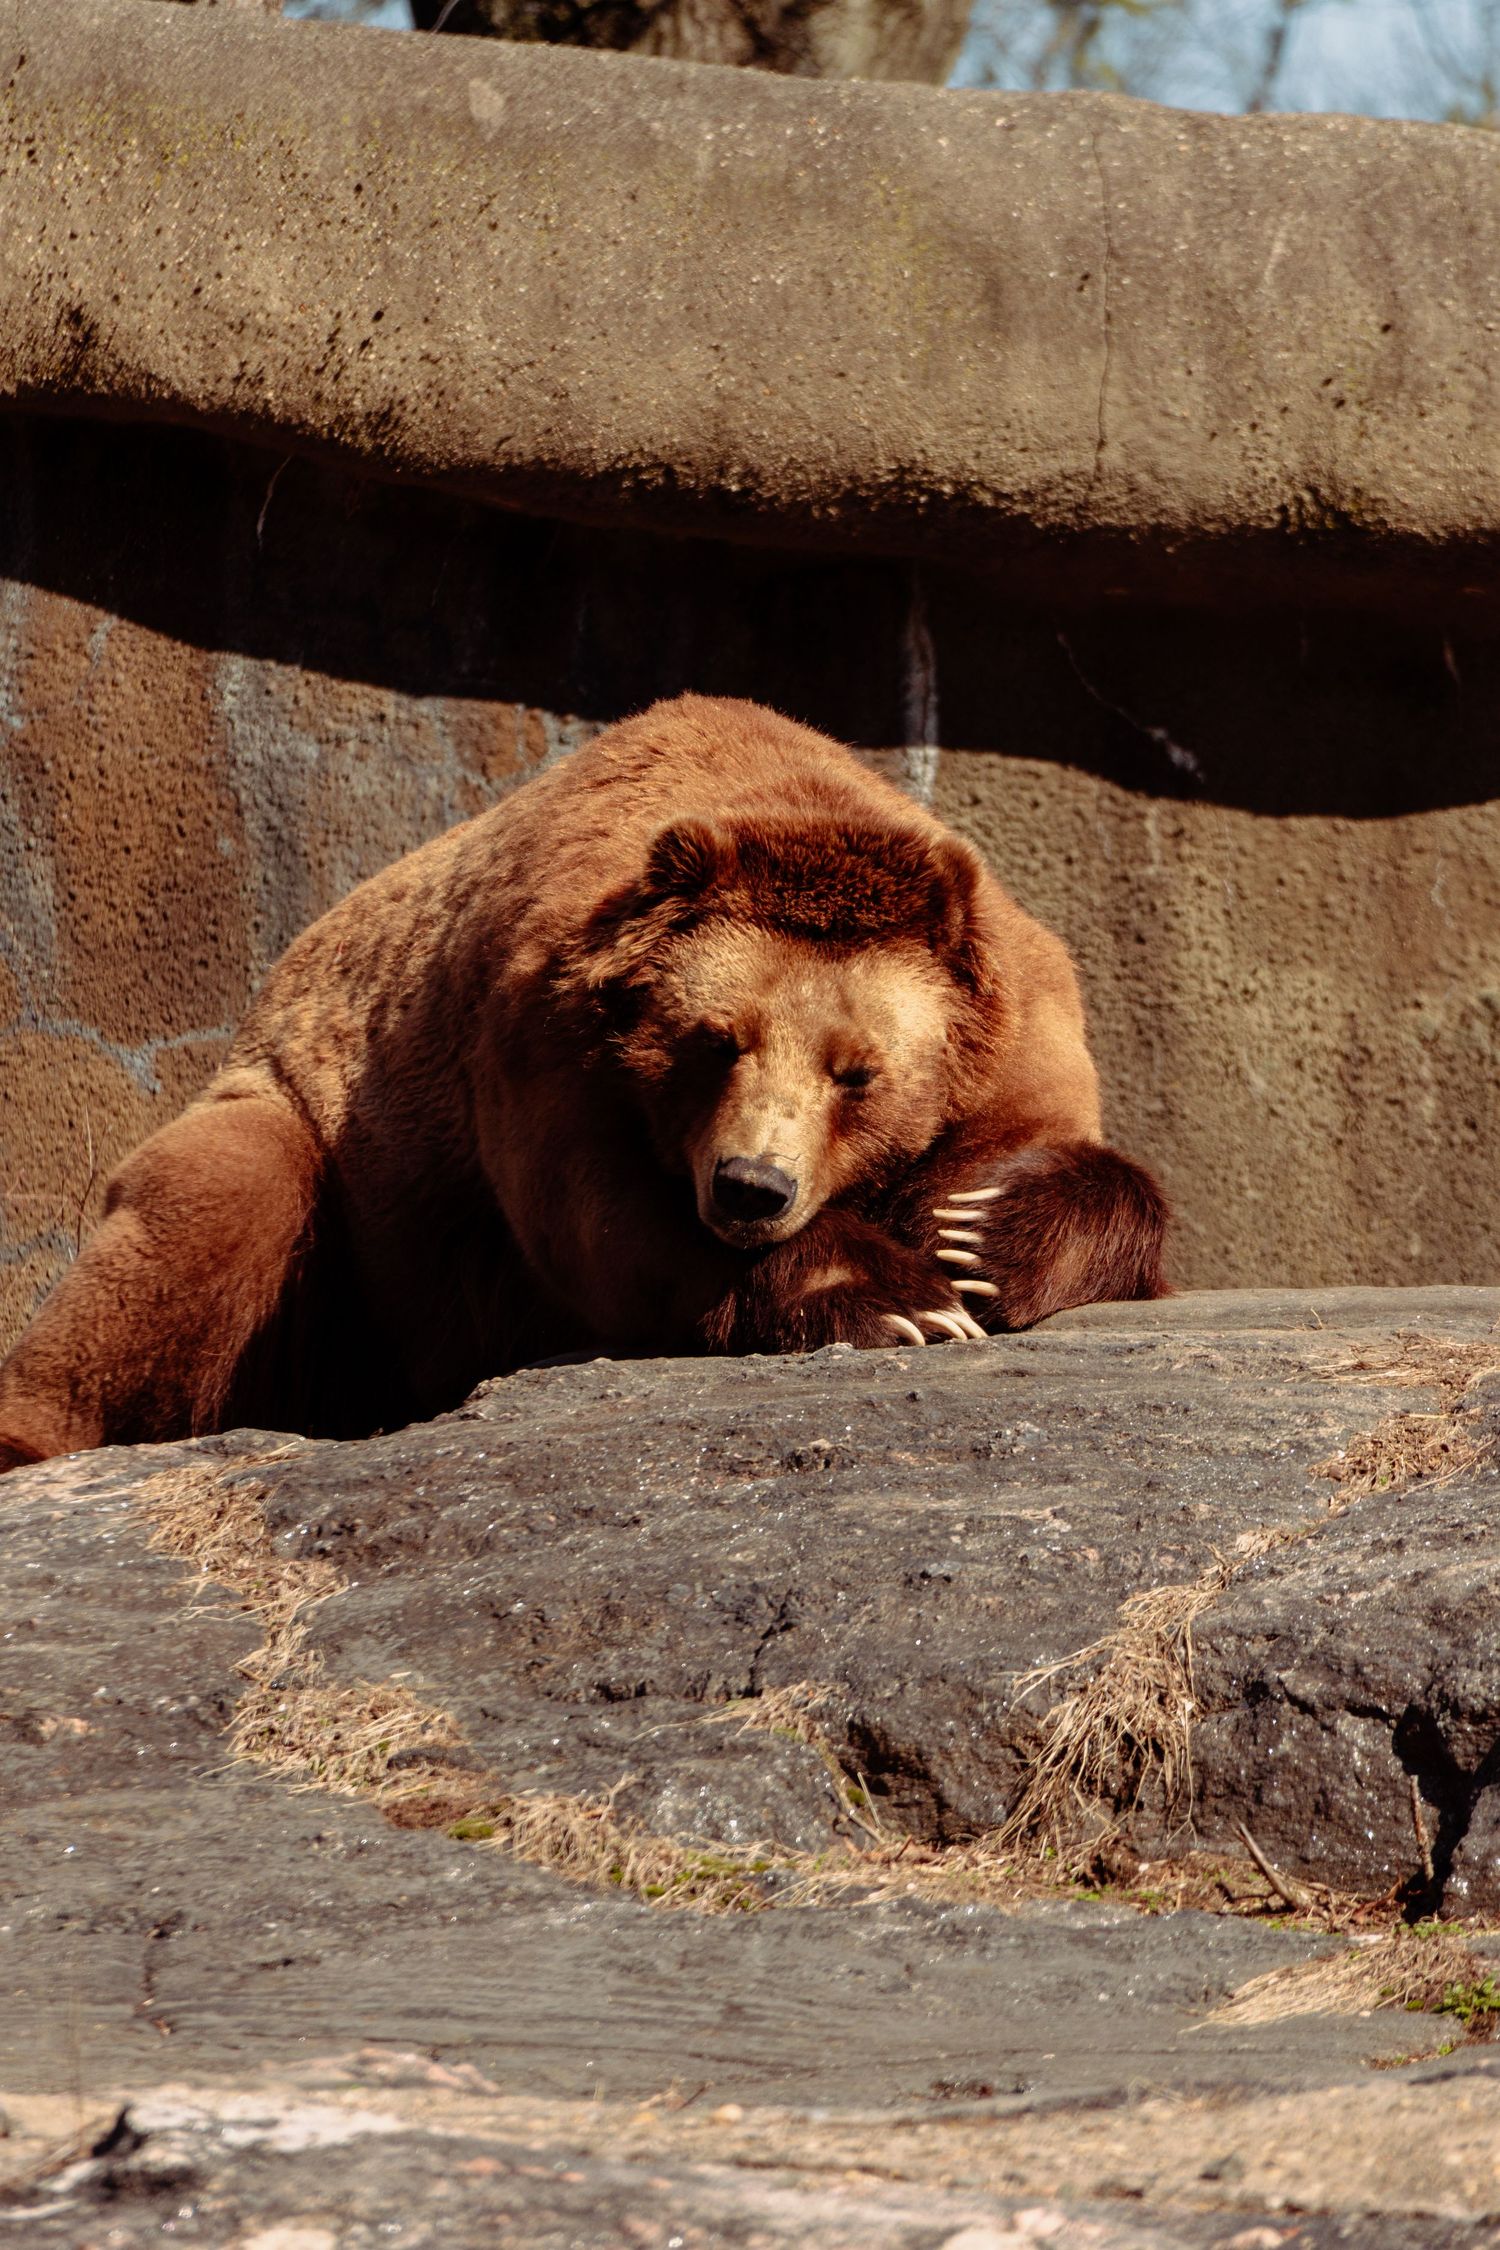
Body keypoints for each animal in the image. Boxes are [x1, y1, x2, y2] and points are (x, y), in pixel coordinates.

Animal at [0, 695, 1166, 1468]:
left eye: (859, 1072)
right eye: (716, 1039)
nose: (752, 1188)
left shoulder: (1012, 1022)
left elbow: (1045, 1152)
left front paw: (977, 1235)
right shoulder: (542, 1035)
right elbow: (608, 1226)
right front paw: (899, 1300)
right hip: (314, 1137)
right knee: (214, 1207)